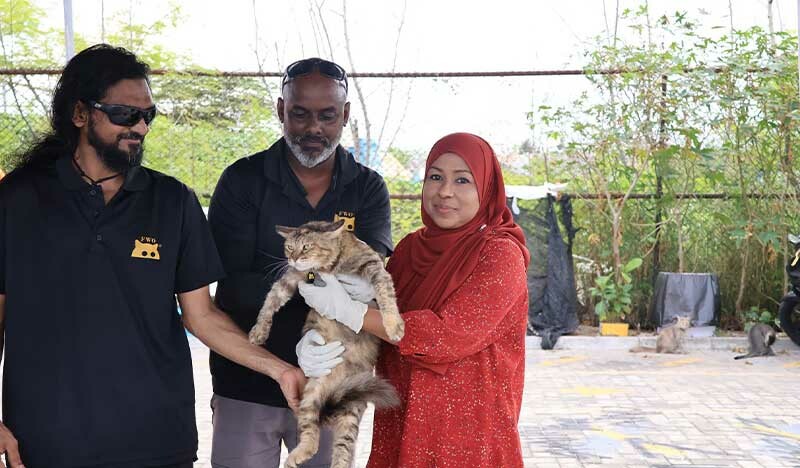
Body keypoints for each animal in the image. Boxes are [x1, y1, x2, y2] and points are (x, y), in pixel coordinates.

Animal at [248, 219, 405, 468]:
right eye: (289, 248)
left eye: (306, 247)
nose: (293, 258)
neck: (331, 266)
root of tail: (339, 390)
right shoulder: (293, 277)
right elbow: (270, 301)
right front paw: (258, 331)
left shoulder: (374, 267)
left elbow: (385, 294)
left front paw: (393, 325)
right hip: (312, 395)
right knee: (312, 437)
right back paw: (297, 455)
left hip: (353, 407)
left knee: (344, 449)